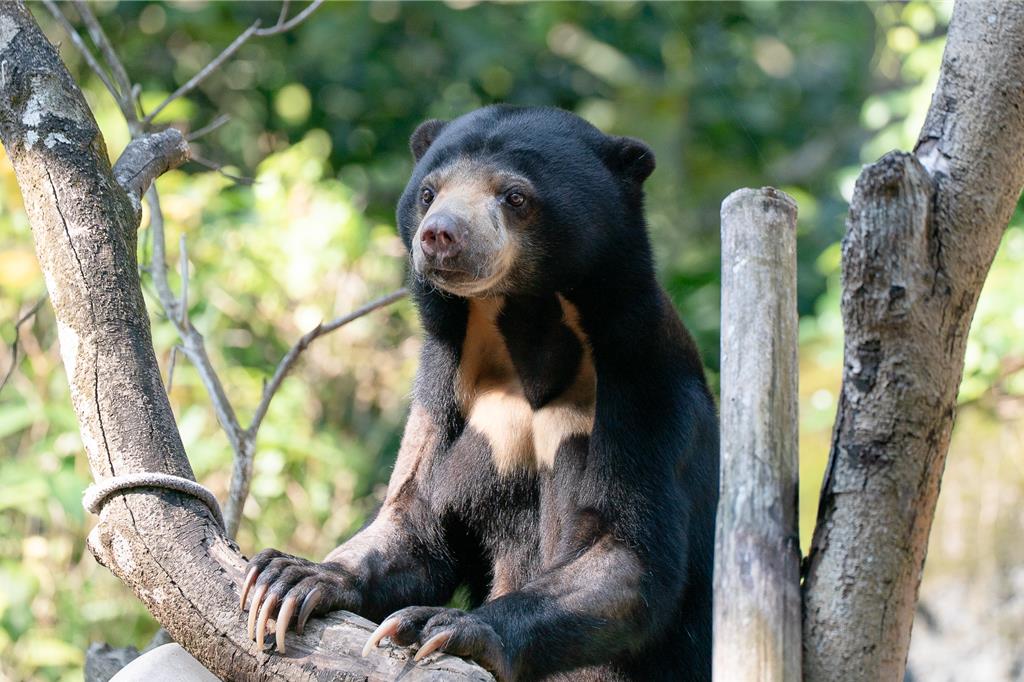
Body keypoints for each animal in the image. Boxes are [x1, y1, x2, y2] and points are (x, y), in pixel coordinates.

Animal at [239, 105, 719, 682]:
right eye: (428, 192)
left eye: (515, 196)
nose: (439, 235)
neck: (527, 327)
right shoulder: (442, 384)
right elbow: (419, 520)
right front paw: (293, 577)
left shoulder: (644, 384)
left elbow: (627, 554)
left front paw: (441, 624)